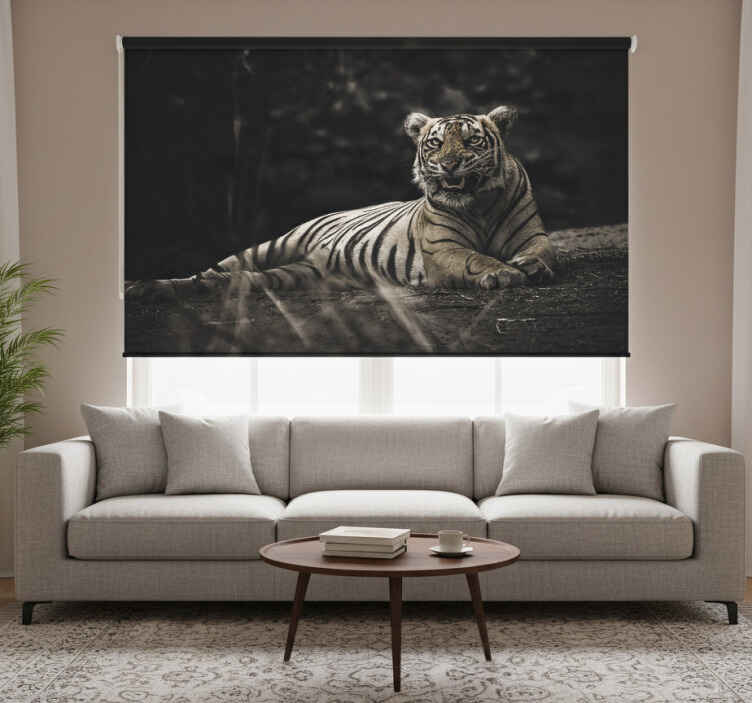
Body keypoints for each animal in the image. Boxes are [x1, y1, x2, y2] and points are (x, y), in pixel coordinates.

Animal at [126, 105, 555, 299]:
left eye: (471, 141)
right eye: (435, 144)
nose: (449, 164)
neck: (479, 205)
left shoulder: (532, 234)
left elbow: (543, 249)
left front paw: (530, 266)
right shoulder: (443, 249)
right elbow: (475, 258)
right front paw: (502, 273)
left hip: (296, 273)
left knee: (240, 279)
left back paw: (209, 286)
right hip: (272, 245)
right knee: (211, 269)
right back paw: (146, 287)